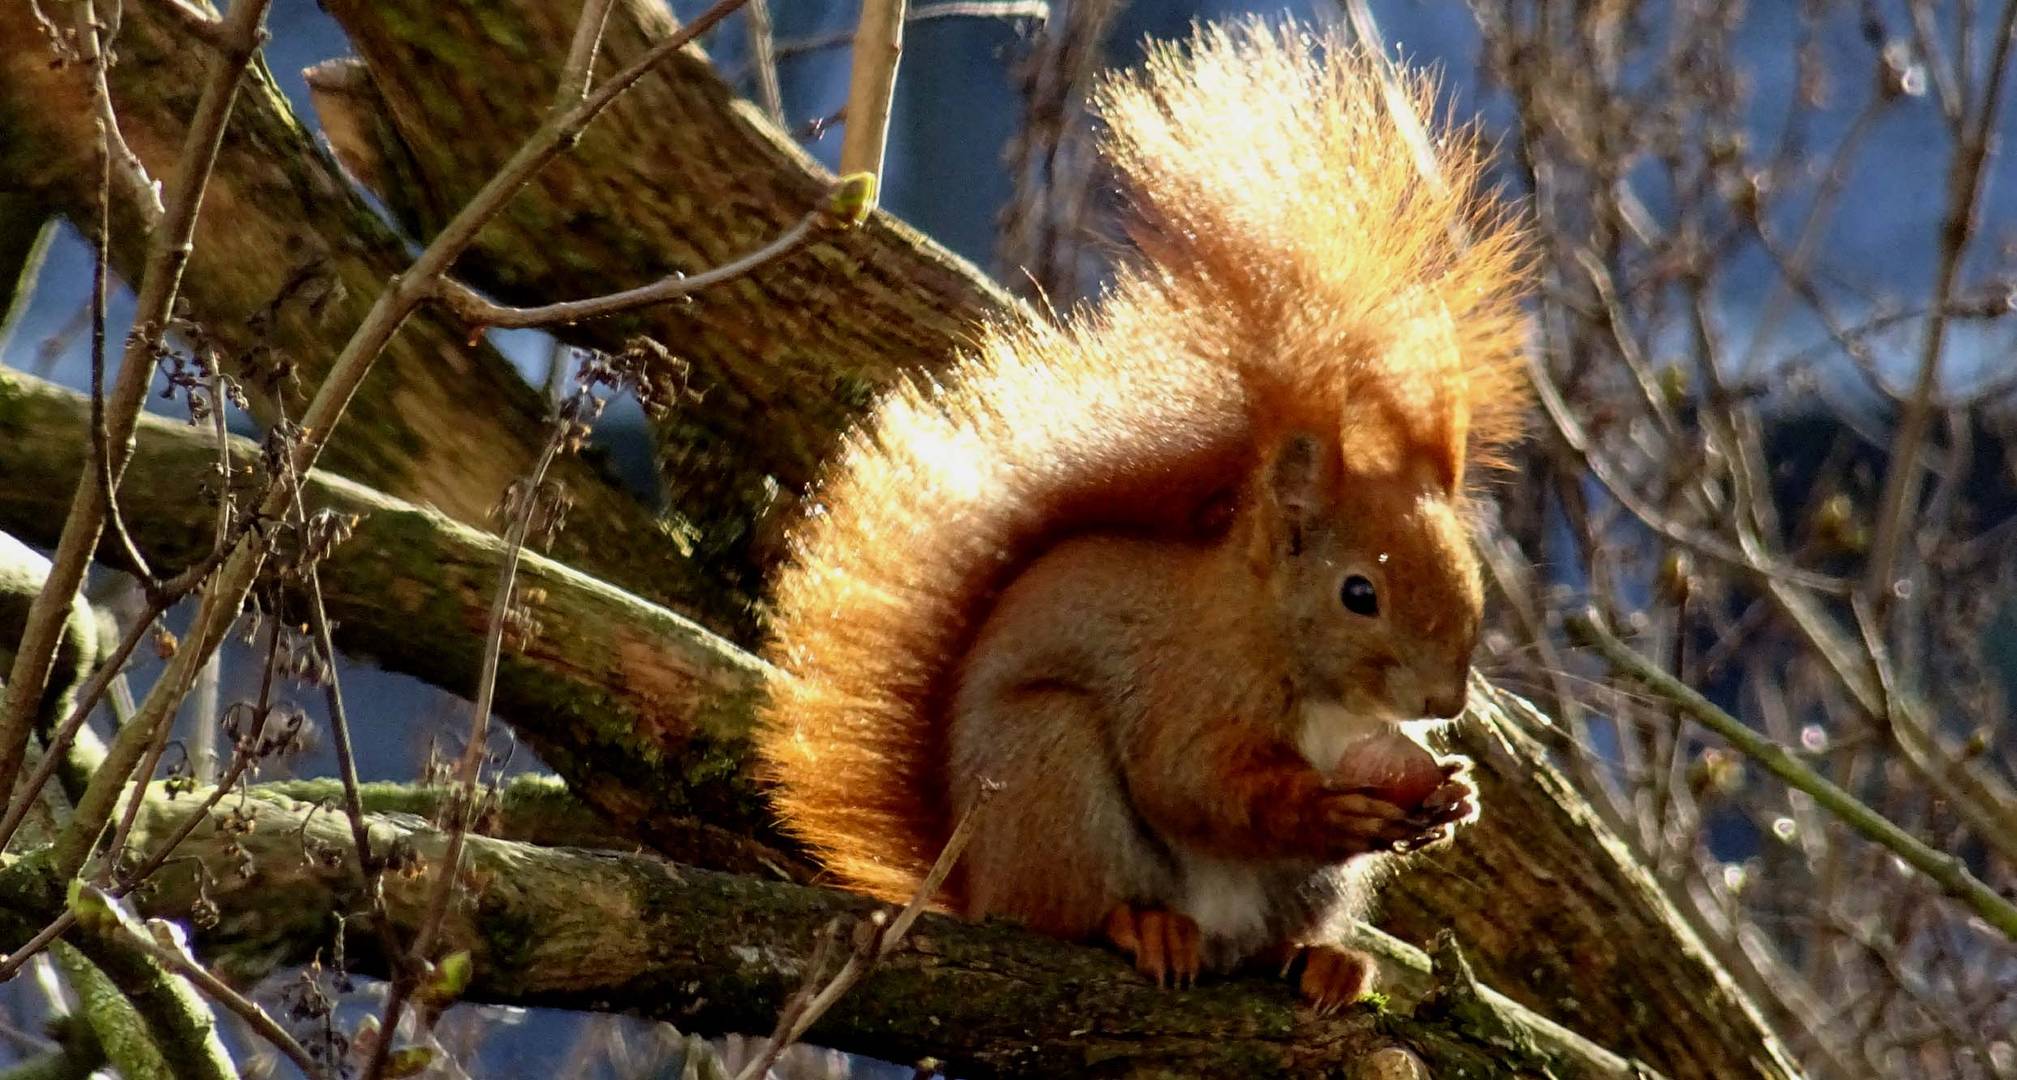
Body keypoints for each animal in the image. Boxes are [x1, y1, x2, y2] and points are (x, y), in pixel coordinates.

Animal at [758, 19, 1524, 1013]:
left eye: (1472, 583)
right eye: (1359, 593)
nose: (1442, 703)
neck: (1280, 650)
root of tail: (968, 882)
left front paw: (1455, 797)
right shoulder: (1181, 689)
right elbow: (1191, 782)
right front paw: (1319, 806)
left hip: (1303, 889)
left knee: (1272, 940)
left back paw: (1321, 960)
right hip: (1048, 773)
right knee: (1071, 910)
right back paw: (1143, 926)